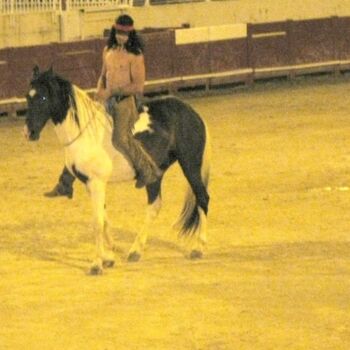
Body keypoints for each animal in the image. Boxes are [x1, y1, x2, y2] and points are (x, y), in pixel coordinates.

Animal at [24, 67, 211, 274]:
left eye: (42, 97)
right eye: (27, 97)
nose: (29, 133)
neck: (85, 134)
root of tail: (192, 113)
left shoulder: (97, 183)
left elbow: (97, 222)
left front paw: (96, 264)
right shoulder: (90, 185)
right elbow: (104, 220)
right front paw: (108, 257)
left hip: (190, 164)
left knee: (202, 198)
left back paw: (198, 248)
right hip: (155, 175)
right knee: (154, 206)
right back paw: (135, 251)